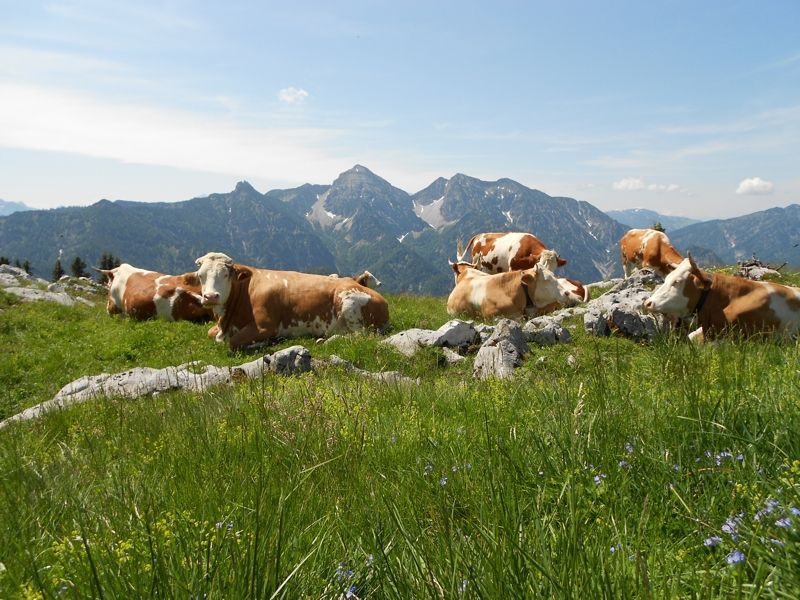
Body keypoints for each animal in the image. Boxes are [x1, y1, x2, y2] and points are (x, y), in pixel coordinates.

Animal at [195, 252, 389, 350]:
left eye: (226, 274)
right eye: (200, 276)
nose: (210, 297)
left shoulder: (266, 325)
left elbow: (234, 342)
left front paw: (262, 343)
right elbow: (211, 333)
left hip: (350, 303)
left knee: (360, 337)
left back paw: (326, 340)